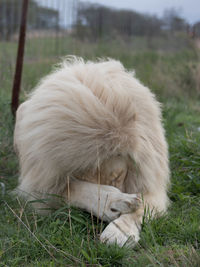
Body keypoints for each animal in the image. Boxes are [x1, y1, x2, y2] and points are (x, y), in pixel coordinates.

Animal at [14, 57, 170, 248]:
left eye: (118, 177)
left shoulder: (151, 186)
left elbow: (140, 208)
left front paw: (119, 232)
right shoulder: (41, 183)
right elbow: (74, 190)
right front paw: (113, 203)